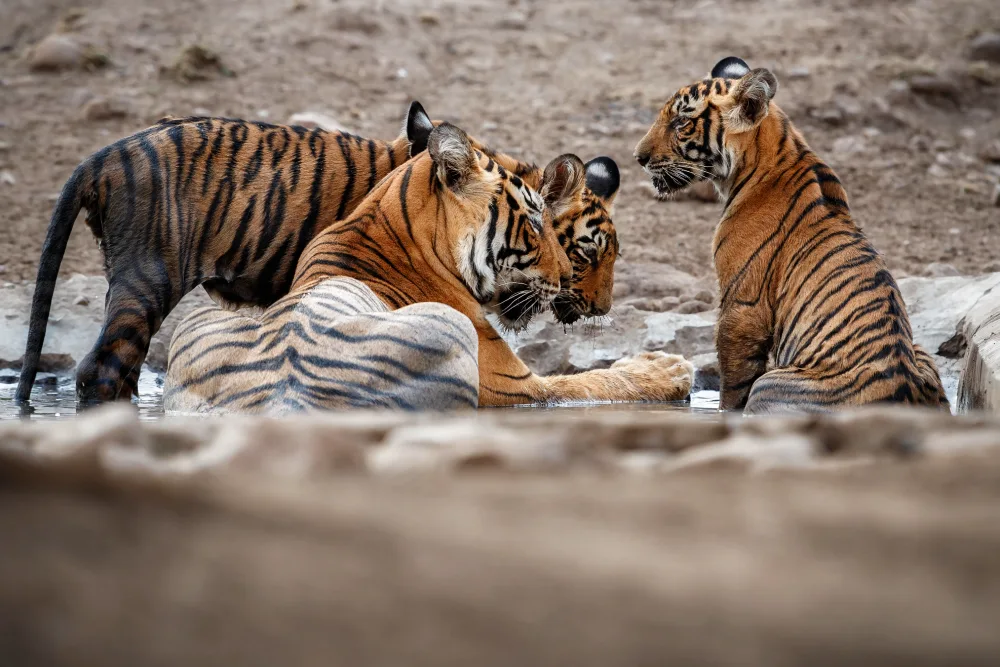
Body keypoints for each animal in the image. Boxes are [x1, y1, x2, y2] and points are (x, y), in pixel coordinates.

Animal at [634, 56, 948, 415]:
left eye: (681, 122)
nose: (638, 157)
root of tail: (907, 389)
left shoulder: (743, 304)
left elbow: (733, 385)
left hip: (770, 383)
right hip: (921, 352)